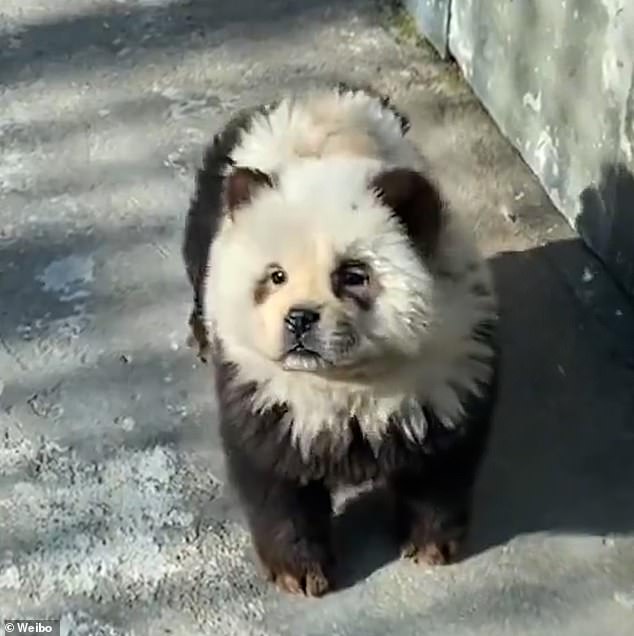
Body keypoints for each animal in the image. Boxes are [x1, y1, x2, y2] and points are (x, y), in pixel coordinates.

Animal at [180, 83, 496, 596]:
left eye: (352, 275)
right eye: (276, 276)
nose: (299, 320)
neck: (348, 384)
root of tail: (314, 96)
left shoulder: (449, 366)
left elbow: (442, 464)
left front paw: (429, 545)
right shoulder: (265, 391)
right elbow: (275, 479)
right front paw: (299, 571)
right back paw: (200, 335)